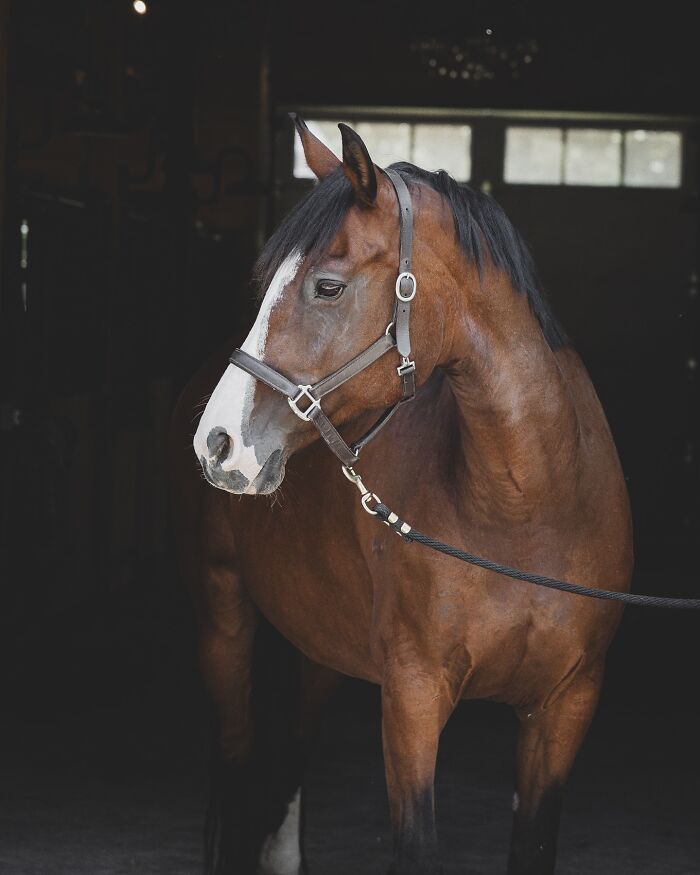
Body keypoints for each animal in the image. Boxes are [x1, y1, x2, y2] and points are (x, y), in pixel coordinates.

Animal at [169, 117, 633, 875]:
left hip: (318, 645)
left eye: (327, 287)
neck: (528, 507)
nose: (218, 442)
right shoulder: (413, 697)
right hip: (223, 619)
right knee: (237, 770)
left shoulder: (566, 706)